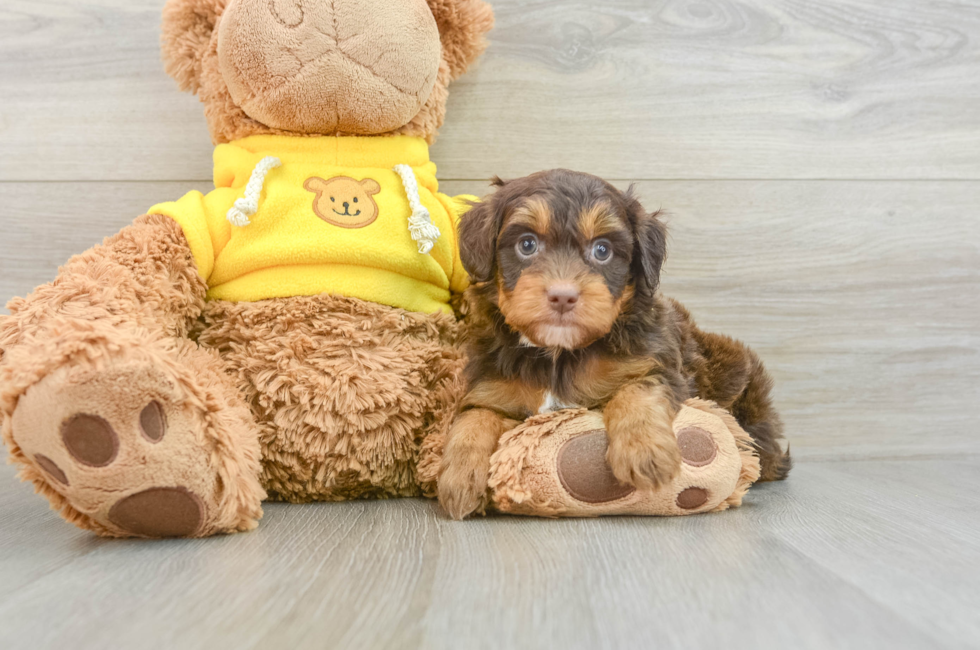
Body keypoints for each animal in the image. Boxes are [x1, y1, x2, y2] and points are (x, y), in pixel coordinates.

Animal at [440, 170, 792, 520]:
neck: (559, 353)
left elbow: (637, 389)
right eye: (526, 244)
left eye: (602, 250)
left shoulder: (656, 364)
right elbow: (473, 418)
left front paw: (644, 451)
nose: (563, 296)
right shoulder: (491, 387)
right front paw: (458, 478)